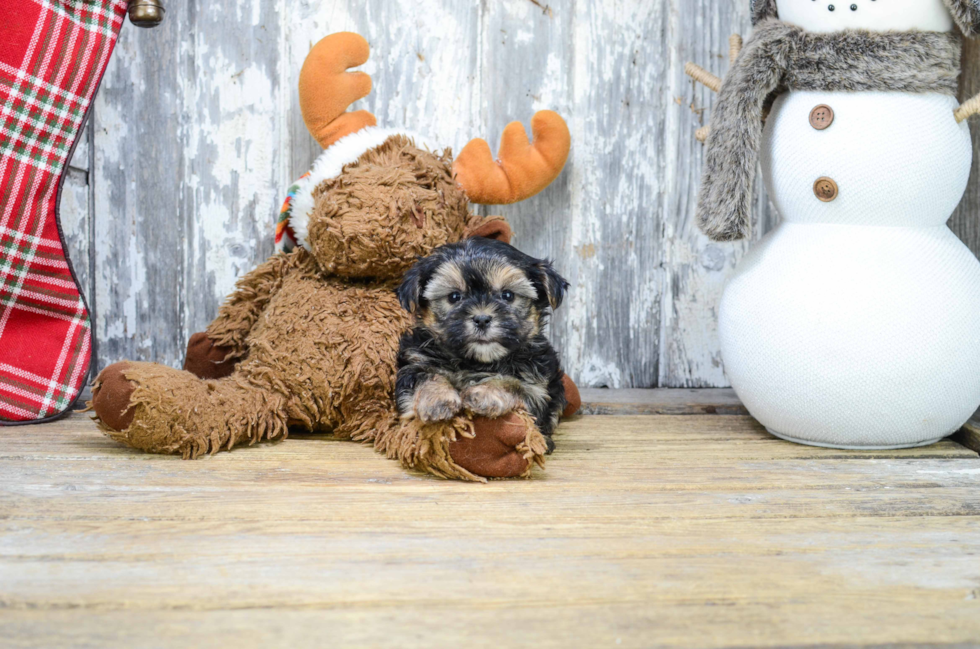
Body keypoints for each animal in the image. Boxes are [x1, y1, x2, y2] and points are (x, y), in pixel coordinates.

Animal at [394, 235, 572, 454]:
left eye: (507, 295)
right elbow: (425, 376)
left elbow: (514, 384)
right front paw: (437, 399)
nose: (482, 319)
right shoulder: (414, 361)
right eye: (454, 296)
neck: (476, 361)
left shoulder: (537, 387)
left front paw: (483, 393)